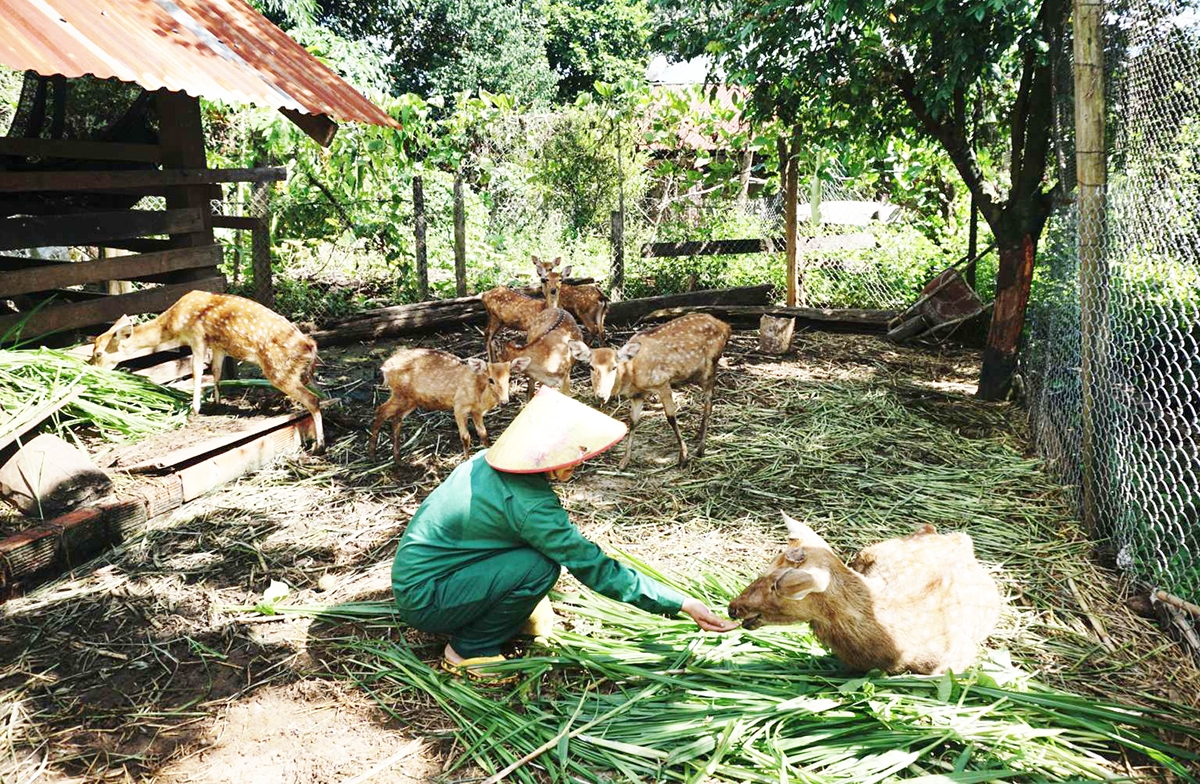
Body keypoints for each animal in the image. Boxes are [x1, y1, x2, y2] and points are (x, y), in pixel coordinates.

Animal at [88, 289, 326, 449]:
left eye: (98, 353)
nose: (90, 368)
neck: (173, 323)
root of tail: (310, 345)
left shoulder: (197, 336)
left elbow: (197, 371)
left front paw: (194, 409)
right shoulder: (218, 345)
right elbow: (217, 371)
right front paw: (216, 403)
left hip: (278, 369)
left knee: (313, 400)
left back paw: (319, 445)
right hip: (299, 372)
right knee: (319, 393)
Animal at [369, 348, 530, 458]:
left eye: (509, 378)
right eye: (491, 379)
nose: (505, 401)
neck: (479, 395)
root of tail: (384, 367)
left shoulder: (477, 411)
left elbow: (483, 433)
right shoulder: (459, 406)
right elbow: (466, 437)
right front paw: (466, 460)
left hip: (411, 400)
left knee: (396, 418)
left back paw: (397, 458)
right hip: (400, 394)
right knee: (380, 410)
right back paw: (372, 454)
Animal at [564, 312, 724, 468]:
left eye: (614, 367)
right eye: (591, 367)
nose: (601, 396)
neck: (633, 374)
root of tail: (724, 325)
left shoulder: (663, 382)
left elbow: (671, 418)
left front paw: (683, 457)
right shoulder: (637, 395)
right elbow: (633, 421)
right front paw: (624, 462)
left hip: (710, 366)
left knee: (709, 404)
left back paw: (701, 449)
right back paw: (698, 436)